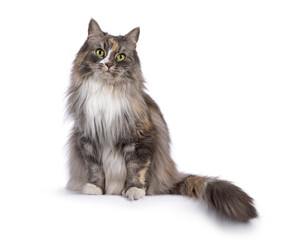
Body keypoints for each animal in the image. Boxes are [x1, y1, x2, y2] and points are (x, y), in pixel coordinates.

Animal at [66, 19, 258, 223]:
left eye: (120, 56)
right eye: (100, 52)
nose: (108, 64)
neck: (106, 91)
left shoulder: (141, 137)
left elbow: (136, 168)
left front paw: (133, 190)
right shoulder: (87, 137)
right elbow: (95, 168)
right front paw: (94, 188)